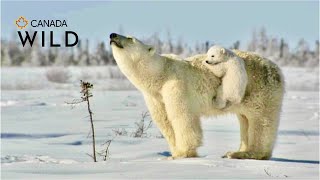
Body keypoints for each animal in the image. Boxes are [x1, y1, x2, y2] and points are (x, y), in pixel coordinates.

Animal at [110, 33, 284, 160]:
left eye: (130, 38)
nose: (112, 35)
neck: (161, 73)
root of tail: (277, 69)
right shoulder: (155, 96)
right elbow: (164, 121)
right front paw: (173, 153)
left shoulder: (176, 86)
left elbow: (182, 117)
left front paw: (183, 154)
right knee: (244, 119)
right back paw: (236, 151)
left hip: (260, 89)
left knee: (260, 121)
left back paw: (246, 153)